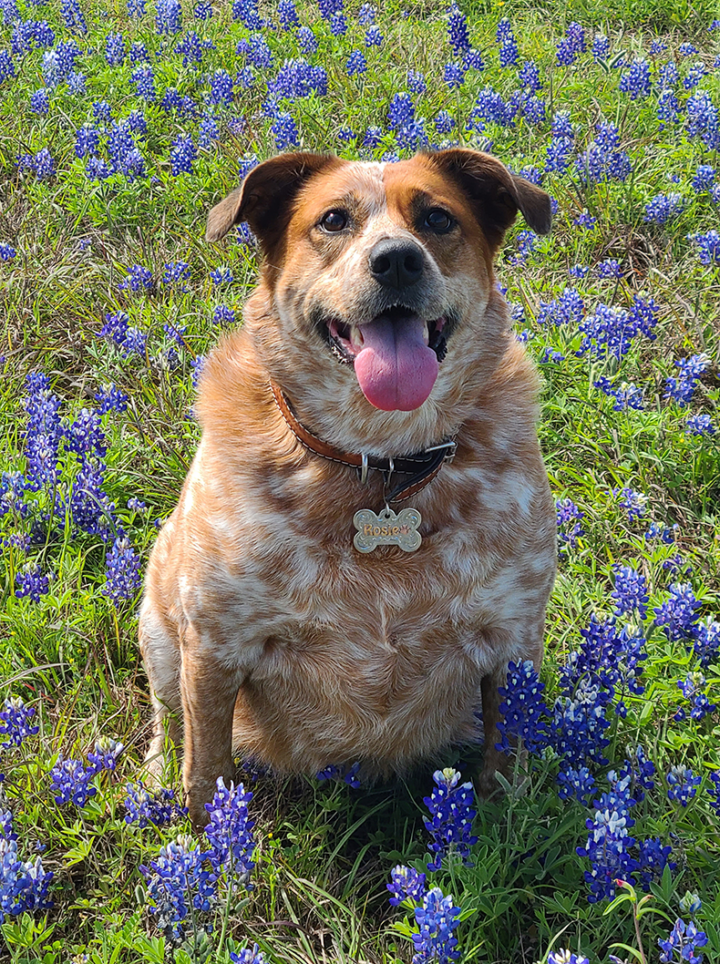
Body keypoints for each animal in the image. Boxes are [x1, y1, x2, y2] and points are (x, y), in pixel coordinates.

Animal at [139, 147, 556, 824]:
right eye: (333, 219)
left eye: (438, 218)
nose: (397, 259)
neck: (379, 459)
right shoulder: (216, 641)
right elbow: (205, 771)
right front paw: (206, 844)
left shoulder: (512, 639)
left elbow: (504, 762)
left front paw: (503, 833)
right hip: (159, 627)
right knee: (167, 718)